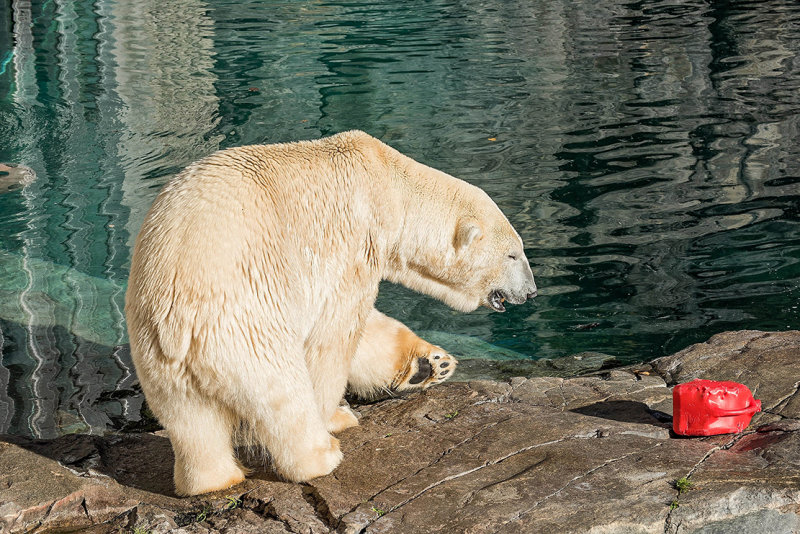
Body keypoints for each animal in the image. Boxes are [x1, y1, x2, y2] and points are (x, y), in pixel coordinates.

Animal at [125, 131, 536, 498]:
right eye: (513, 254)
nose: (531, 291)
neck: (389, 186)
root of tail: (178, 325)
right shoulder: (350, 243)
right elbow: (334, 336)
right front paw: (338, 415)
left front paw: (432, 364)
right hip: (245, 323)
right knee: (282, 392)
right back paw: (323, 456)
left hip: (157, 356)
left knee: (192, 423)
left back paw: (212, 480)